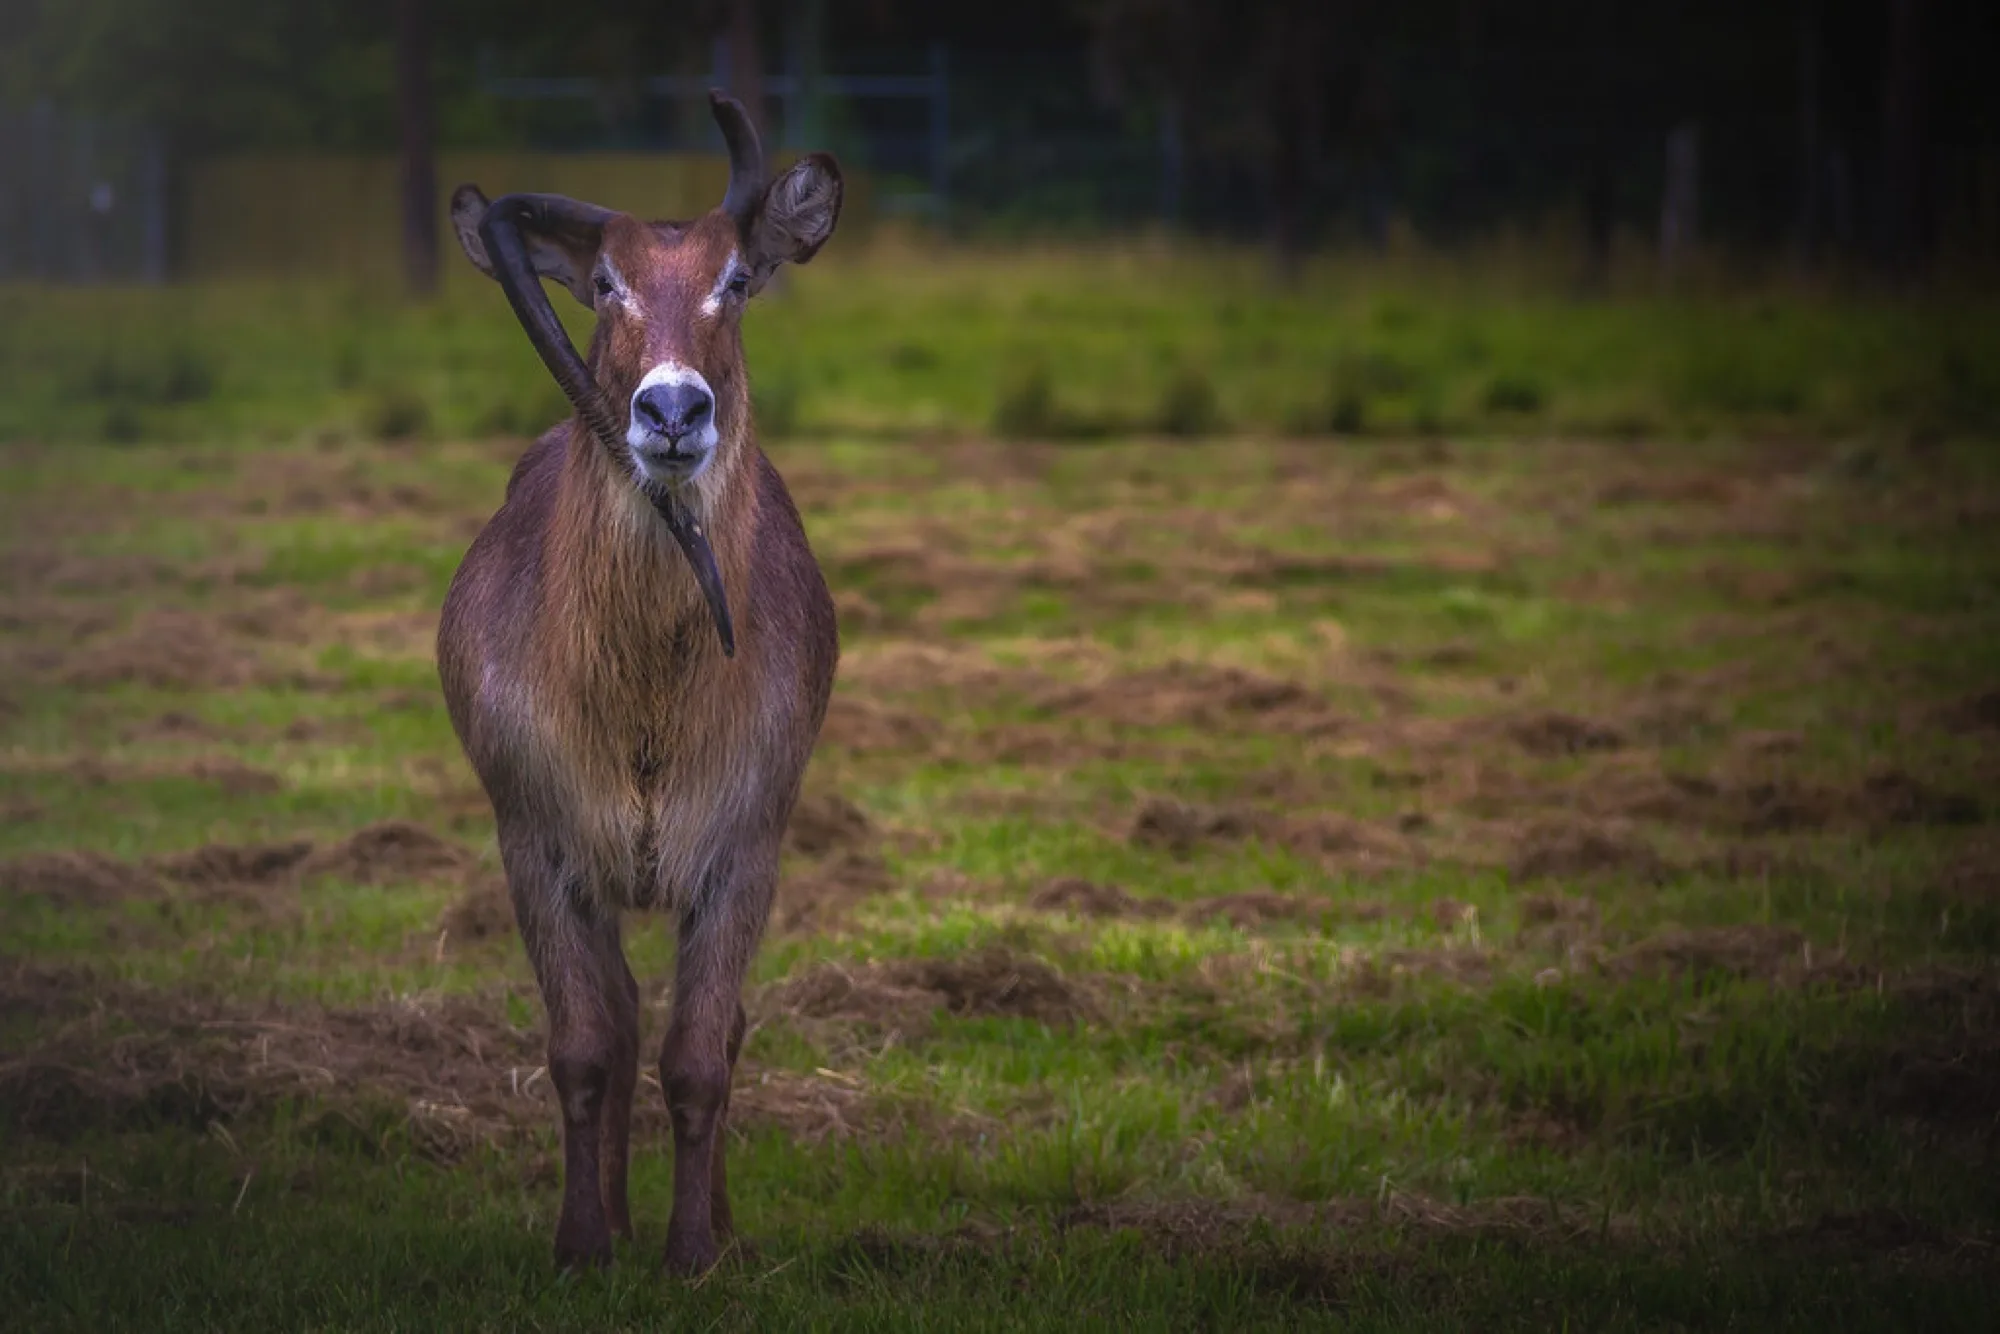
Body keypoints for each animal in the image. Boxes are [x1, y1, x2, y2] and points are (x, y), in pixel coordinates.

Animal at [436, 92, 842, 1273]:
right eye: (606, 282)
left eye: (737, 278)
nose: (671, 411)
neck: (645, 702)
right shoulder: (538, 838)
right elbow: (582, 1044)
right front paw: (583, 1243)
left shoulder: (743, 845)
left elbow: (700, 1052)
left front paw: (695, 1252)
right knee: (615, 1019)